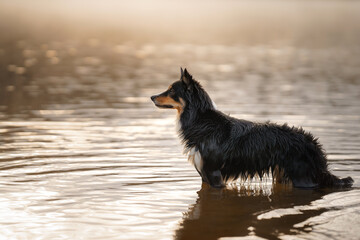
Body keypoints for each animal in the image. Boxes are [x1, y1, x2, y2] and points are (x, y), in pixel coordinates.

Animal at [150, 68, 352, 189]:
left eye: (171, 90)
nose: (151, 96)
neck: (200, 119)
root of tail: (312, 143)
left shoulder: (213, 174)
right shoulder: (204, 176)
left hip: (303, 179)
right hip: (282, 176)